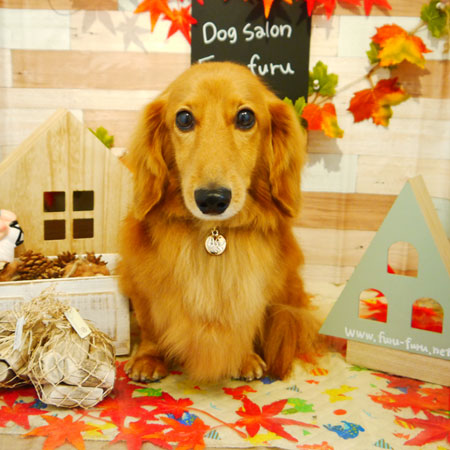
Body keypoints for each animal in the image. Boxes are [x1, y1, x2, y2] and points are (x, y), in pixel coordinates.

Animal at [118, 61, 320, 383]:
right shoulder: (140, 282)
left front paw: (244, 358)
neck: (212, 233)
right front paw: (149, 357)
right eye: (184, 118)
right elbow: (151, 324)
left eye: (245, 117)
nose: (212, 199)